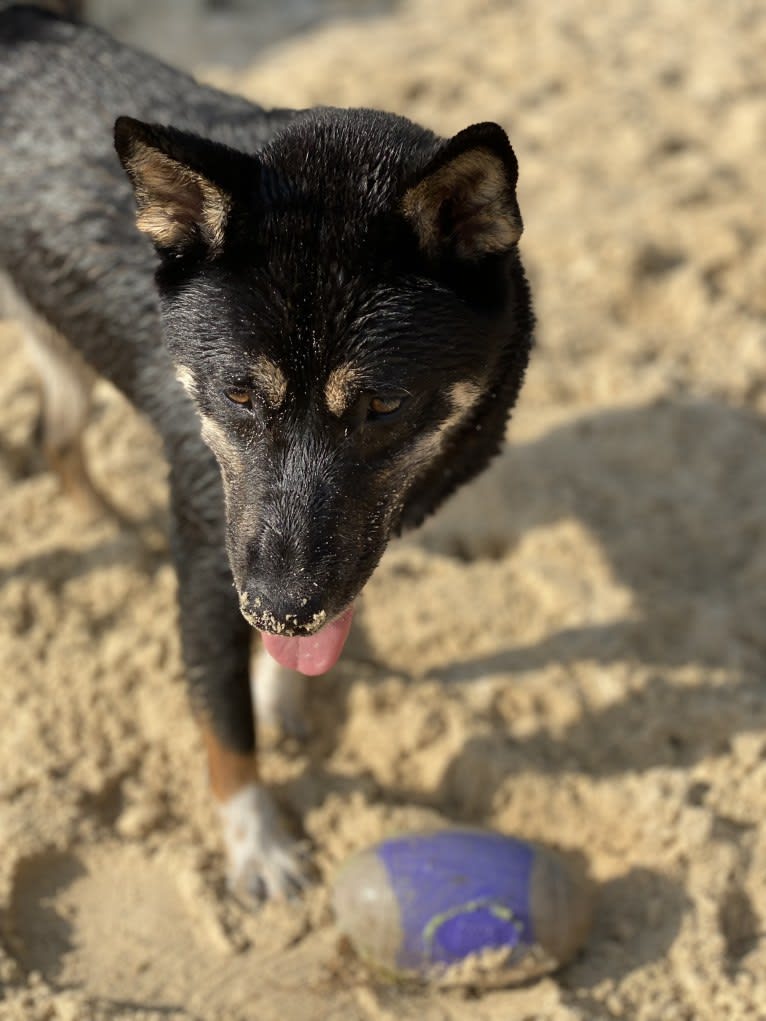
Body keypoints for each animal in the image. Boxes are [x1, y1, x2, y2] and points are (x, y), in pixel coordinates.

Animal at [0, 5, 535, 902]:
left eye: (385, 404)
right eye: (240, 395)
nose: (278, 608)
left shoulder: (338, 544)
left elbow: (314, 625)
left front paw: (282, 686)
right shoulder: (216, 556)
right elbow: (223, 722)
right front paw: (257, 843)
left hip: (61, 343)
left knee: (54, 440)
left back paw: (121, 533)